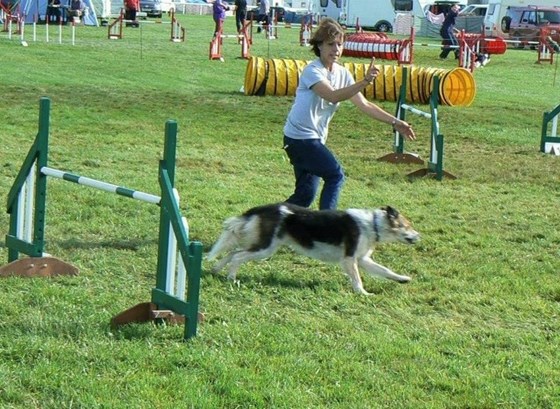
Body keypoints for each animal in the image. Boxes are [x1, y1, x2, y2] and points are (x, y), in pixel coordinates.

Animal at [208, 202, 418, 294]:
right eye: (407, 226)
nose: (419, 236)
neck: (373, 225)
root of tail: (263, 207)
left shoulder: (362, 259)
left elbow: (385, 271)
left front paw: (403, 279)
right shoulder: (349, 259)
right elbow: (357, 279)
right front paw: (363, 294)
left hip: (263, 247)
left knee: (232, 252)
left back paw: (216, 270)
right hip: (265, 249)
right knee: (237, 256)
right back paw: (231, 278)